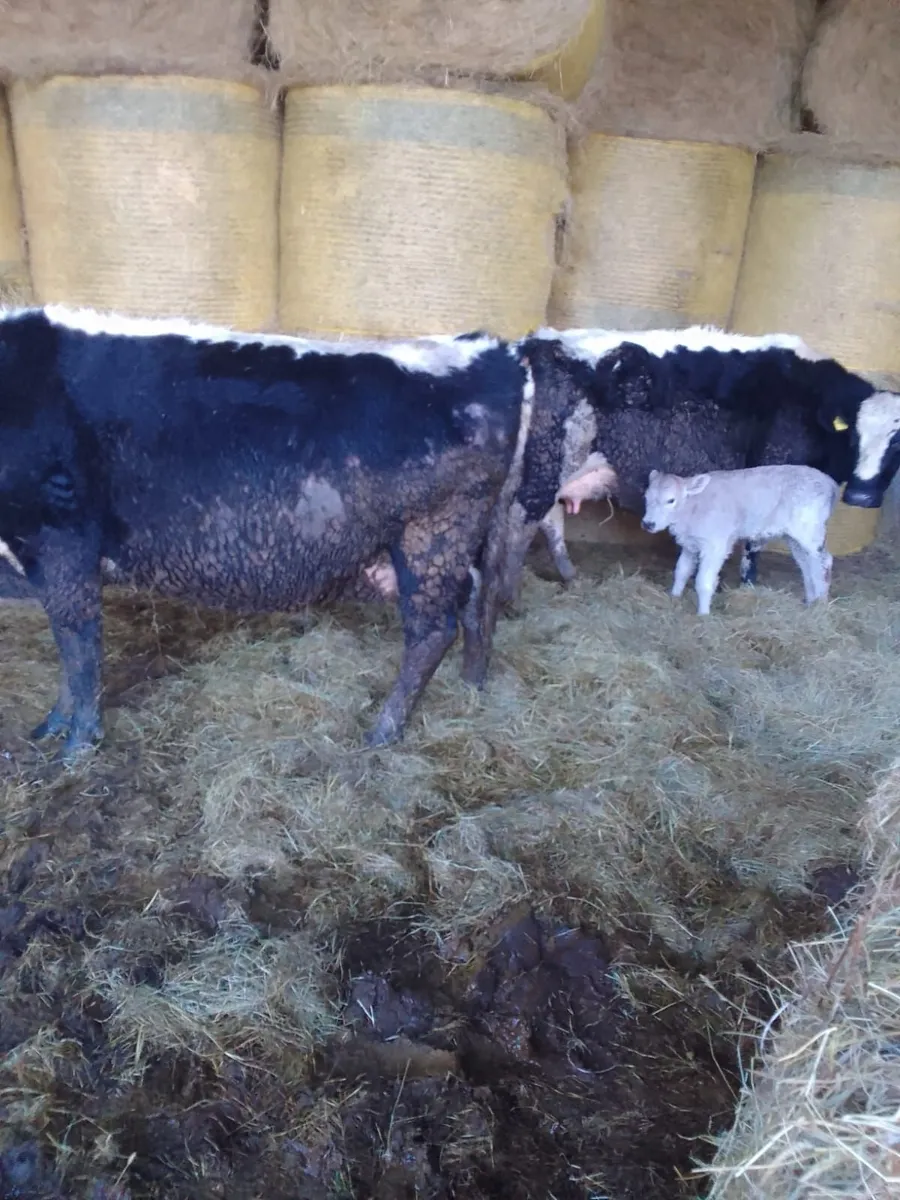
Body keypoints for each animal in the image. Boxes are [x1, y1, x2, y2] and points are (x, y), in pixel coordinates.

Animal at [0, 305, 533, 763]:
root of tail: (488, 348)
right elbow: (67, 643)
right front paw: (53, 725)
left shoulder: (59, 536)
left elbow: (77, 641)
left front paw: (76, 745)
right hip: (459, 540)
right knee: (477, 601)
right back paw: (471, 686)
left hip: (434, 533)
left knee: (432, 629)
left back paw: (383, 730)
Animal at [641, 465, 838, 615]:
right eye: (646, 497)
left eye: (671, 500)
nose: (648, 524)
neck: (692, 506)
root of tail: (829, 482)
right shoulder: (690, 544)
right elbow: (681, 571)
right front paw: (673, 597)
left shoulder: (715, 545)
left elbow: (703, 581)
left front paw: (703, 614)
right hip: (794, 537)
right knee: (807, 564)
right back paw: (811, 601)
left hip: (810, 530)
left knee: (824, 561)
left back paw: (820, 604)